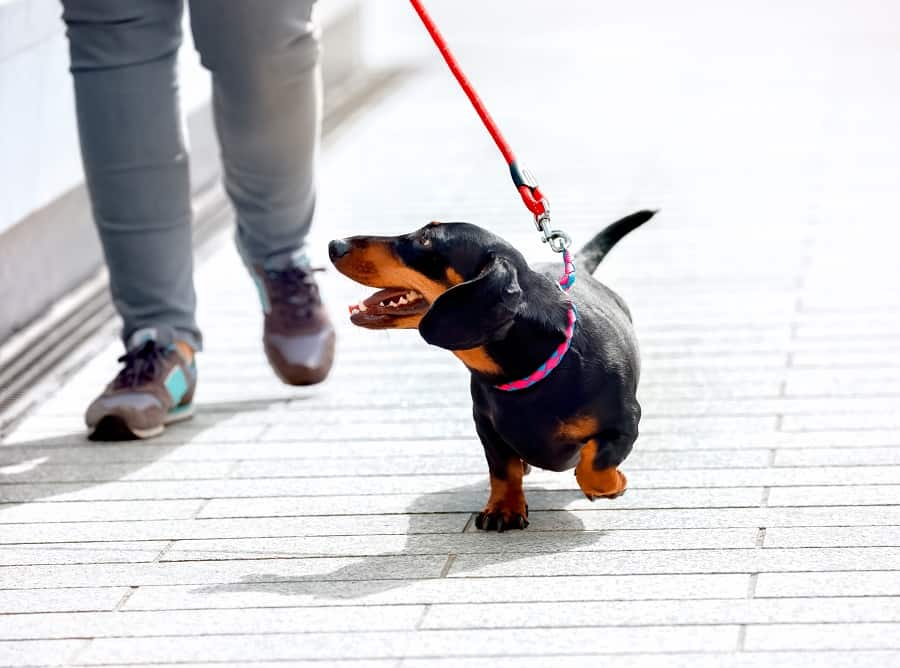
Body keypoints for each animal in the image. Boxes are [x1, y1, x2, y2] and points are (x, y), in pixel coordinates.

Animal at [328, 210, 652, 532]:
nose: (334, 245)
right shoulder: (485, 424)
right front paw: (504, 508)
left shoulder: (625, 423)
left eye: (425, 239)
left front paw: (613, 484)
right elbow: (503, 468)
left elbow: (593, 465)